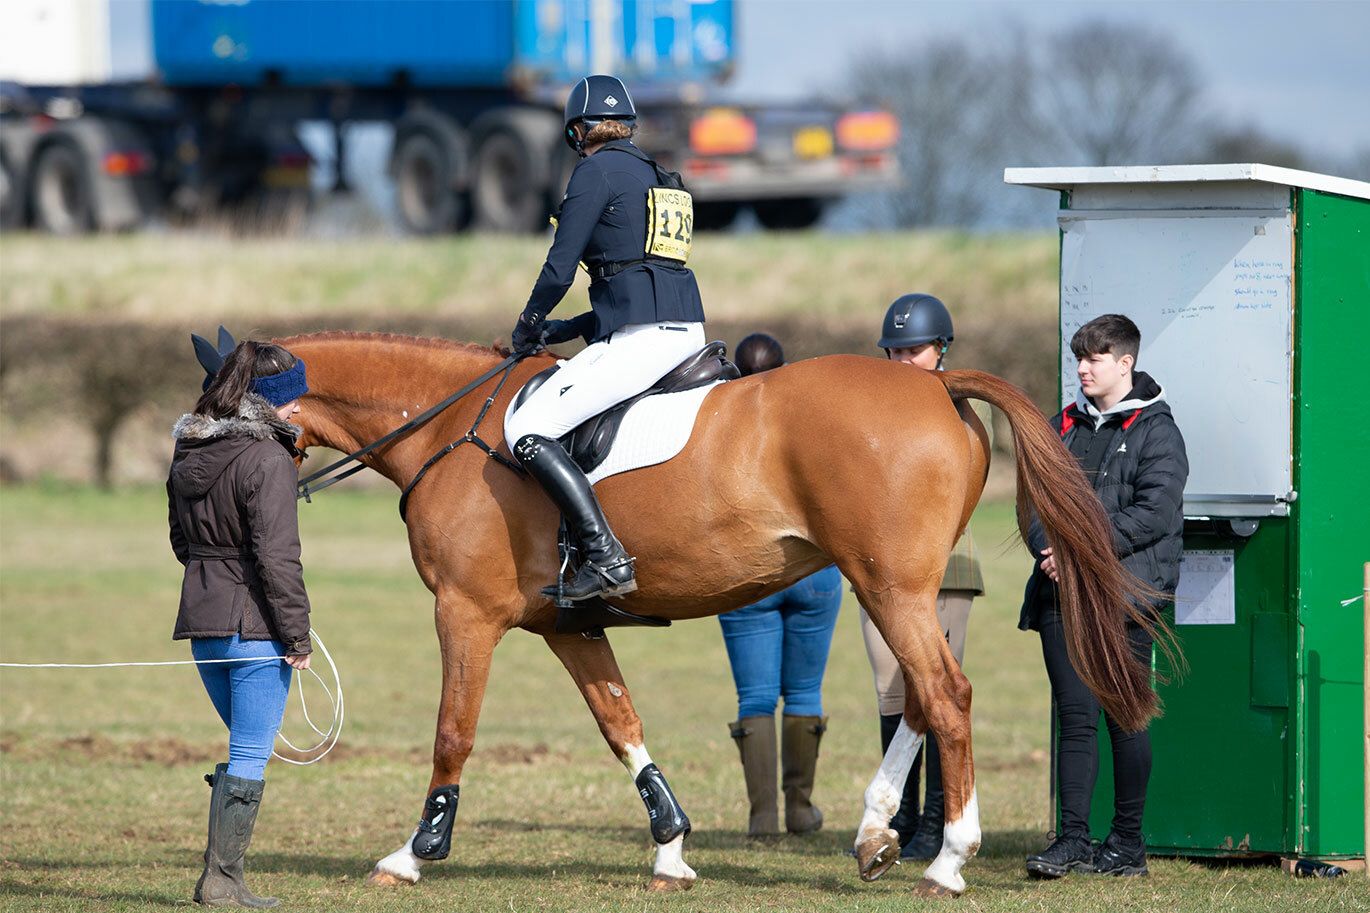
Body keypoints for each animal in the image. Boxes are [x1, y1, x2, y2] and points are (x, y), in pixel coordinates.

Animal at [279, 331, 1157, 897]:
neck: (446, 423)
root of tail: (935, 382)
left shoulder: (464, 614)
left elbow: (452, 732)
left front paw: (414, 852)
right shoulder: (572, 626)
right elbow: (620, 722)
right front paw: (671, 849)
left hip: (891, 587)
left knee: (946, 694)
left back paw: (946, 861)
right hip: (894, 591)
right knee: (920, 695)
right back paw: (876, 834)